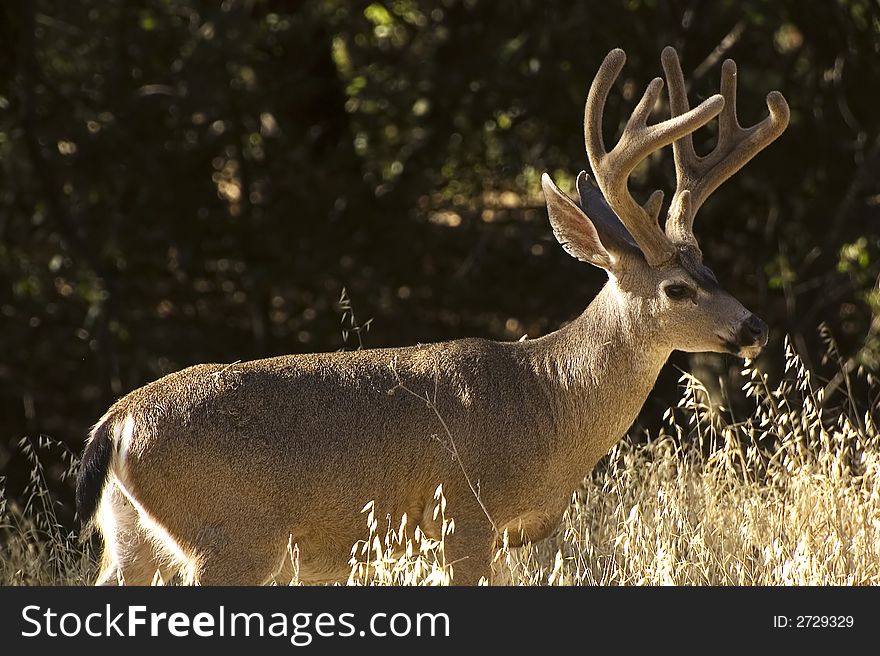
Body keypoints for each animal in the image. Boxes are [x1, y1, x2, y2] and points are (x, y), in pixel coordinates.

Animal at [77, 48, 792, 588]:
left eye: (711, 267)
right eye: (677, 288)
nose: (754, 329)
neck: (548, 406)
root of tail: (117, 424)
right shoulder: (464, 521)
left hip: (130, 538)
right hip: (233, 539)